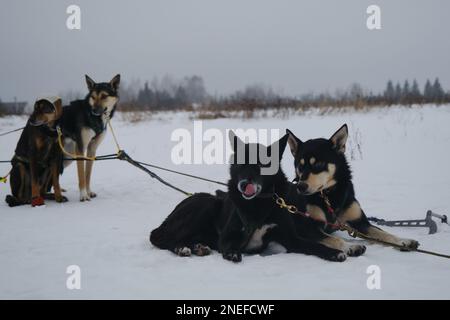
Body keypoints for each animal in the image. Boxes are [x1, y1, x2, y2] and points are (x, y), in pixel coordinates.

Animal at [286, 125, 420, 252]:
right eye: (300, 166)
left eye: (318, 164)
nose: (301, 186)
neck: (329, 195)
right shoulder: (306, 227)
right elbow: (334, 239)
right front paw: (350, 246)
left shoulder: (361, 222)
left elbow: (383, 233)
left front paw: (403, 241)